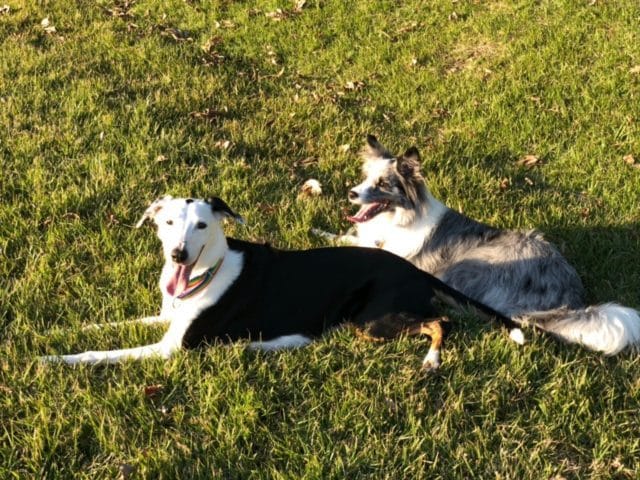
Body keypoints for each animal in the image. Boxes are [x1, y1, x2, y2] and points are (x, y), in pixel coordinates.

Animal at [40, 195, 518, 368]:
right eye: (169, 222)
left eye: (202, 226)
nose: (178, 254)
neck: (208, 271)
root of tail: (414, 268)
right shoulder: (166, 319)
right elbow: (106, 326)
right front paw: (54, 331)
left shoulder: (170, 348)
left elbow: (101, 353)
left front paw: (55, 360)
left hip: (373, 320)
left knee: (440, 323)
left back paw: (431, 360)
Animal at [314, 134, 640, 355]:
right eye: (366, 177)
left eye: (383, 184)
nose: (351, 193)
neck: (400, 217)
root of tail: (569, 297)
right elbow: (346, 237)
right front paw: (319, 230)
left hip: (470, 265)